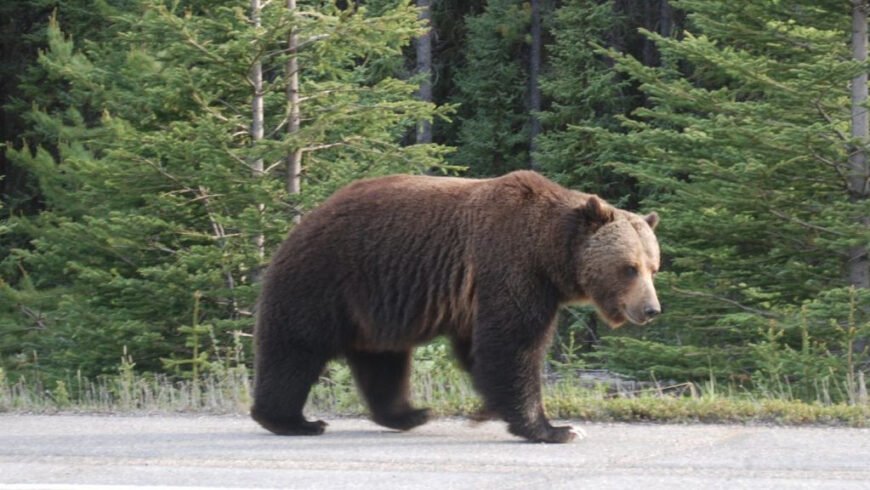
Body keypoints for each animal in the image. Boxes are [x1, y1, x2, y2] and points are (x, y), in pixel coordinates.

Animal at [252, 171, 660, 444]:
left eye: (653, 266)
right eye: (629, 267)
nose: (651, 309)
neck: (550, 254)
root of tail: (306, 218)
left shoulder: (477, 294)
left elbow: (480, 350)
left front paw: (493, 408)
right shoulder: (511, 266)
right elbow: (514, 345)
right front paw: (556, 428)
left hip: (374, 302)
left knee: (382, 358)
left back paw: (410, 413)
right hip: (325, 278)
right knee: (296, 348)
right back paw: (292, 421)